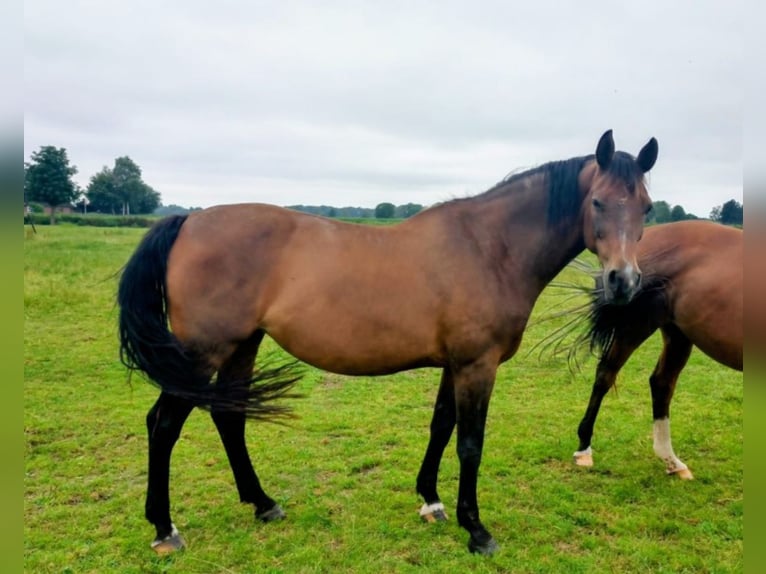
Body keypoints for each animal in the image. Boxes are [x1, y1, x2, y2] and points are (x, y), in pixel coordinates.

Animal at [117, 129, 657, 555]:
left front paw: (431, 501)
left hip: (241, 346)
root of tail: (189, 221)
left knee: (229, 418)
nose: (623, 282)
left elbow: (441, 426)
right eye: (597, 202)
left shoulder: (454, 364)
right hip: (201, 352)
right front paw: (476, 530)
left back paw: (263, 504)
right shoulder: (477, 365)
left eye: (647, 208)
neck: (489, 249)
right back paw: (165, 529)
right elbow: (470, 443)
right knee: (163, 425)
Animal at [571, 220, 742, 479]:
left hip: (678, 333)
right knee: (605, 375)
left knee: (661, 383)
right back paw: (584, 449)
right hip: (637, 325)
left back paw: (672, 462)